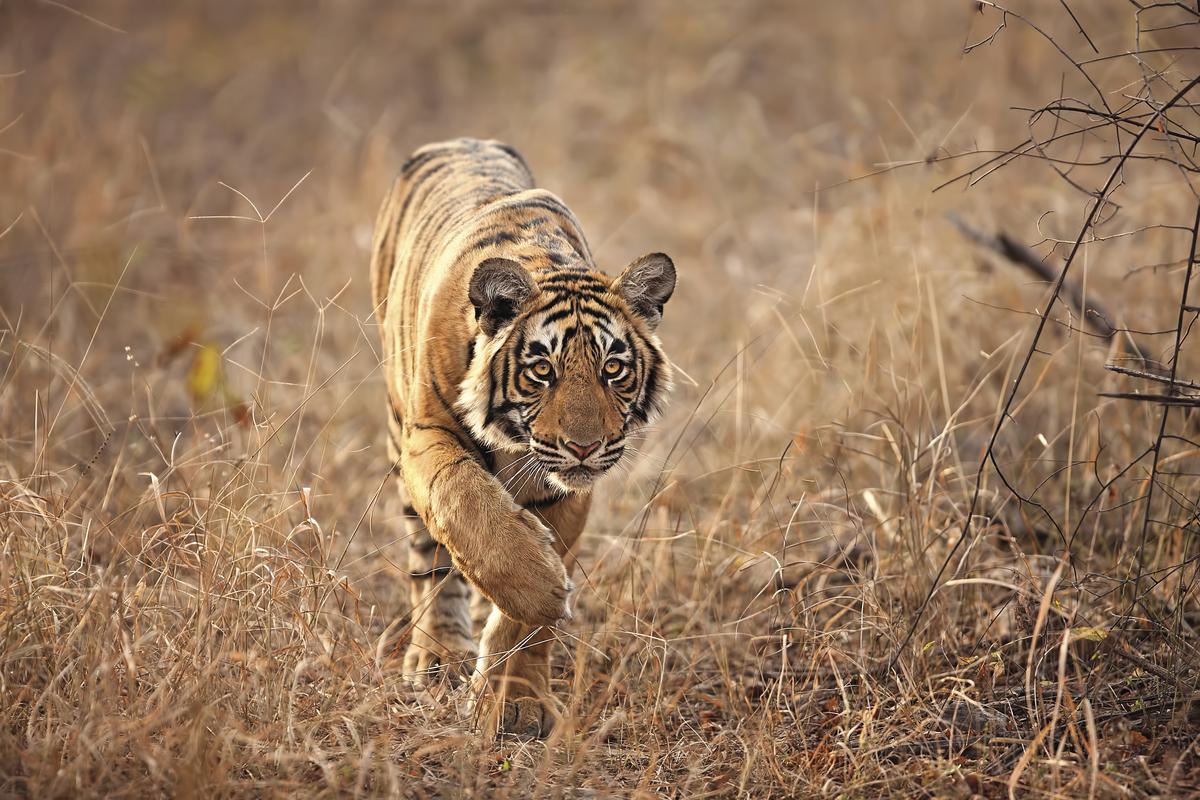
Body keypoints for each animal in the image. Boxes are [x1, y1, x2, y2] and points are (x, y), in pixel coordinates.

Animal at [369, 138, 676, 738]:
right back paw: (438, 654)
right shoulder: (427, 432)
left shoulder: (565, 489)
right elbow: (468, 508)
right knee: (431, 563)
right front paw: (544, 594)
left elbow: (519, 615)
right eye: (542, 370)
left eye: (613, 369)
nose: (583, 446)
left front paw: (516, 700)